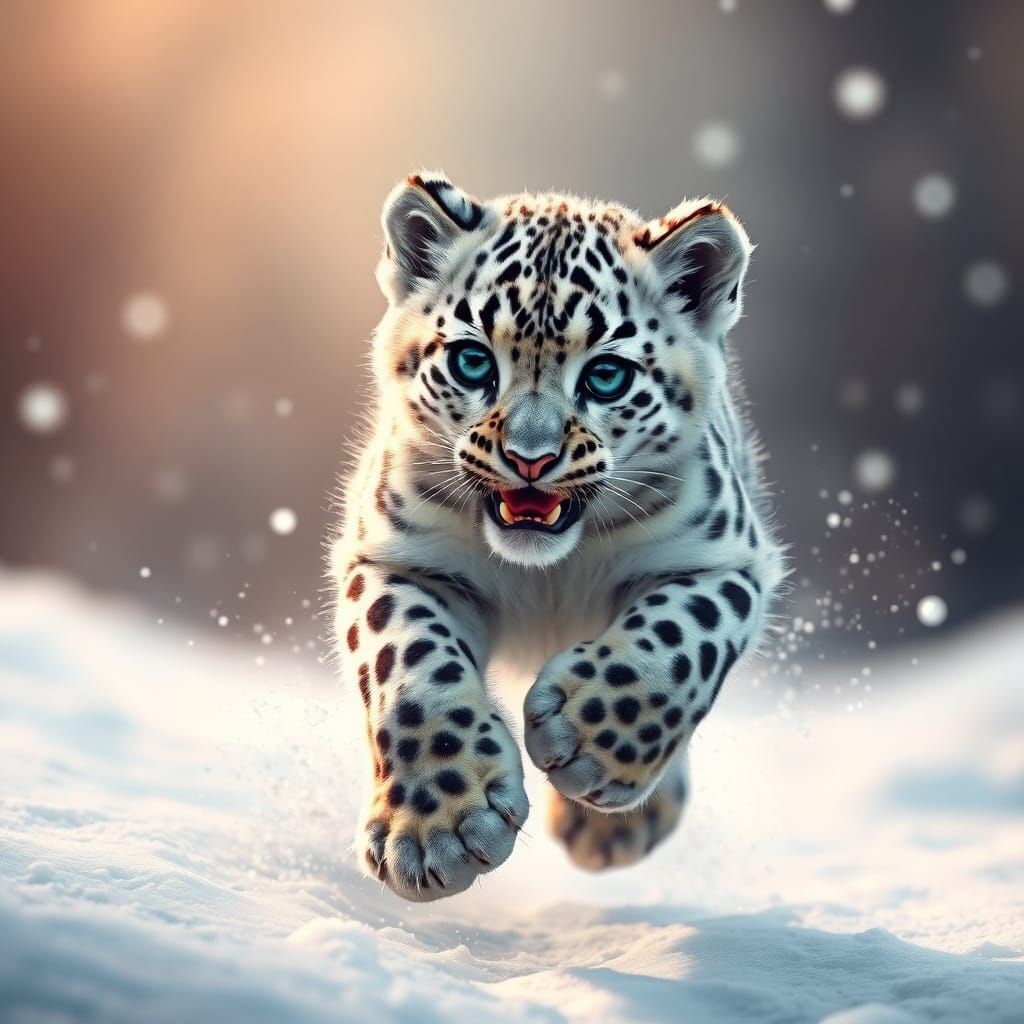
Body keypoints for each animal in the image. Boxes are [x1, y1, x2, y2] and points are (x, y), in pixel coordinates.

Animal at [329, 170, 785, 902]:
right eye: (472, 361)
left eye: (606, 374)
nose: (530, 458)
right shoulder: (398, 557)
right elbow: (409, 669)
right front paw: (436, 834)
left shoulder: (721, 560)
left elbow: (676, 645)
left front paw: (586, 745)